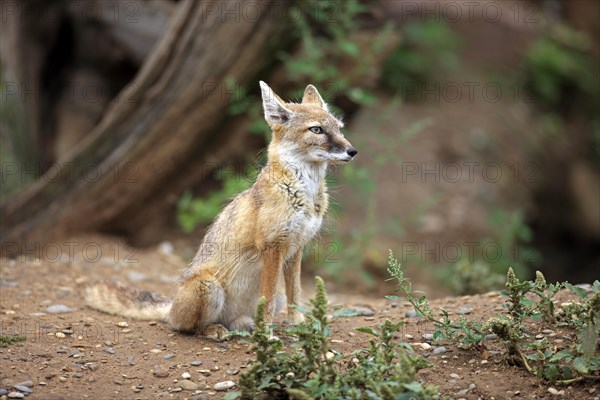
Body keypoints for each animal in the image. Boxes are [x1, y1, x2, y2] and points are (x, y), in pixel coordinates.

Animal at [84, 82, 356, 340]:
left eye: (339, 128)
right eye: (317, 130)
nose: (352, 151)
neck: (304, 196)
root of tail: (171, 307)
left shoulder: (295, 249)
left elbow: (296, 296)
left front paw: (297, 326)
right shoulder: (273, 248)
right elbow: (267, 302)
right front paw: (267, 336)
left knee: (239, 319)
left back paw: (244, 326)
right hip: (208, 287)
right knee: (186, 327)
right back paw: (213, 330)